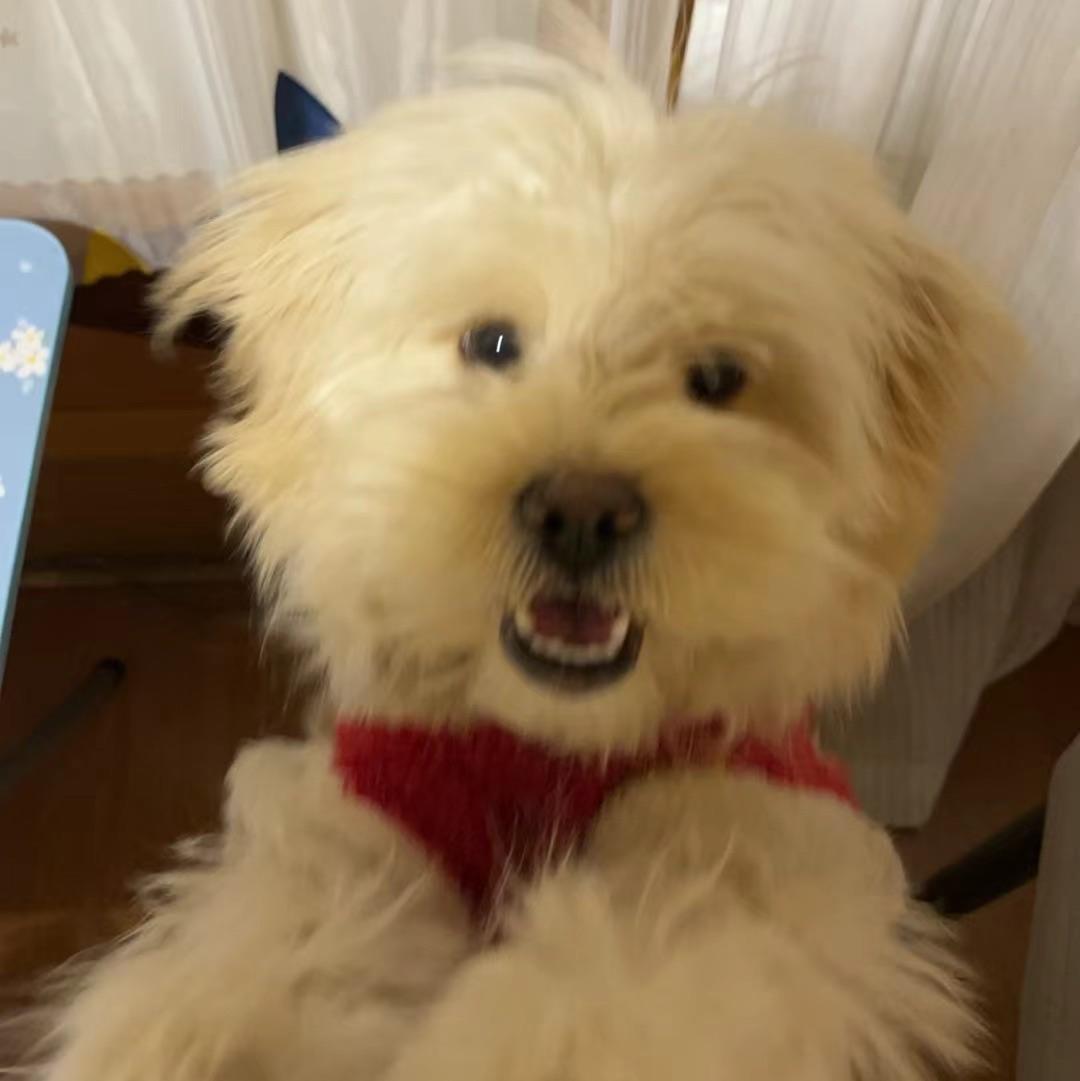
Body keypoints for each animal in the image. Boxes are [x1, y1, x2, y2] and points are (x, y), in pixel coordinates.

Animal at [34, 40, 1019, 1081]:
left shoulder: (764, 853)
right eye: (492, 342)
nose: (581, 513)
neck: (546, 742)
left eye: (717, 380)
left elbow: (636, 976)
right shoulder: (353, 825)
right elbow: (270, 951)